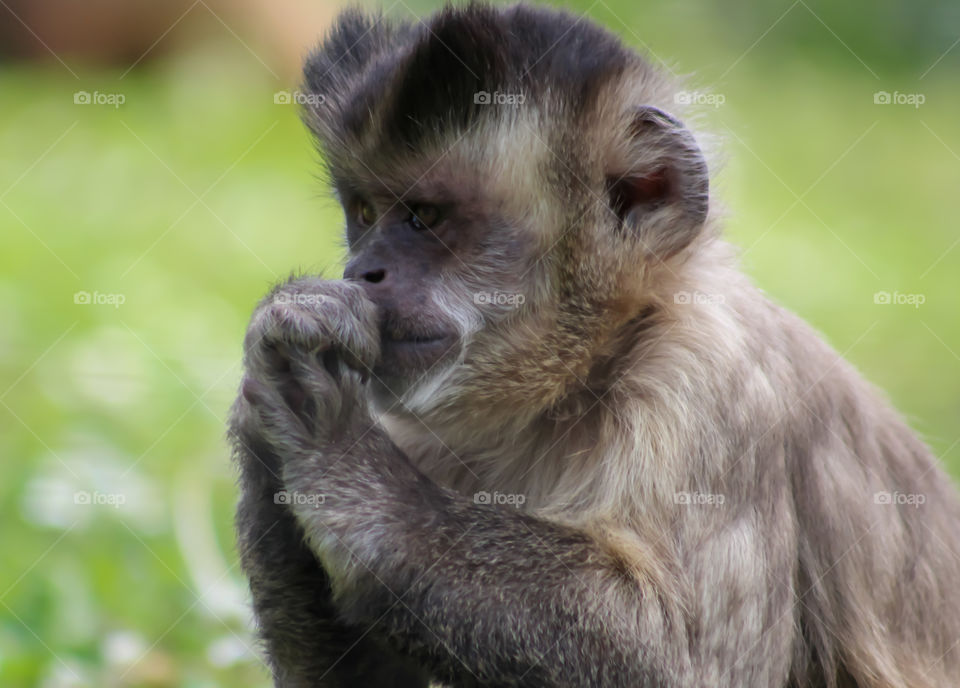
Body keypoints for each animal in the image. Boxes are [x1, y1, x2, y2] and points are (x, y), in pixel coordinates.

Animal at [229, 4, 960, 687]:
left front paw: (333, 449)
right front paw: (270, 413)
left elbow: (686, 665)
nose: (363, 271)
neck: (585, 369)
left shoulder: (707, 378)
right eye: (364, 214)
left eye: (424, 217)